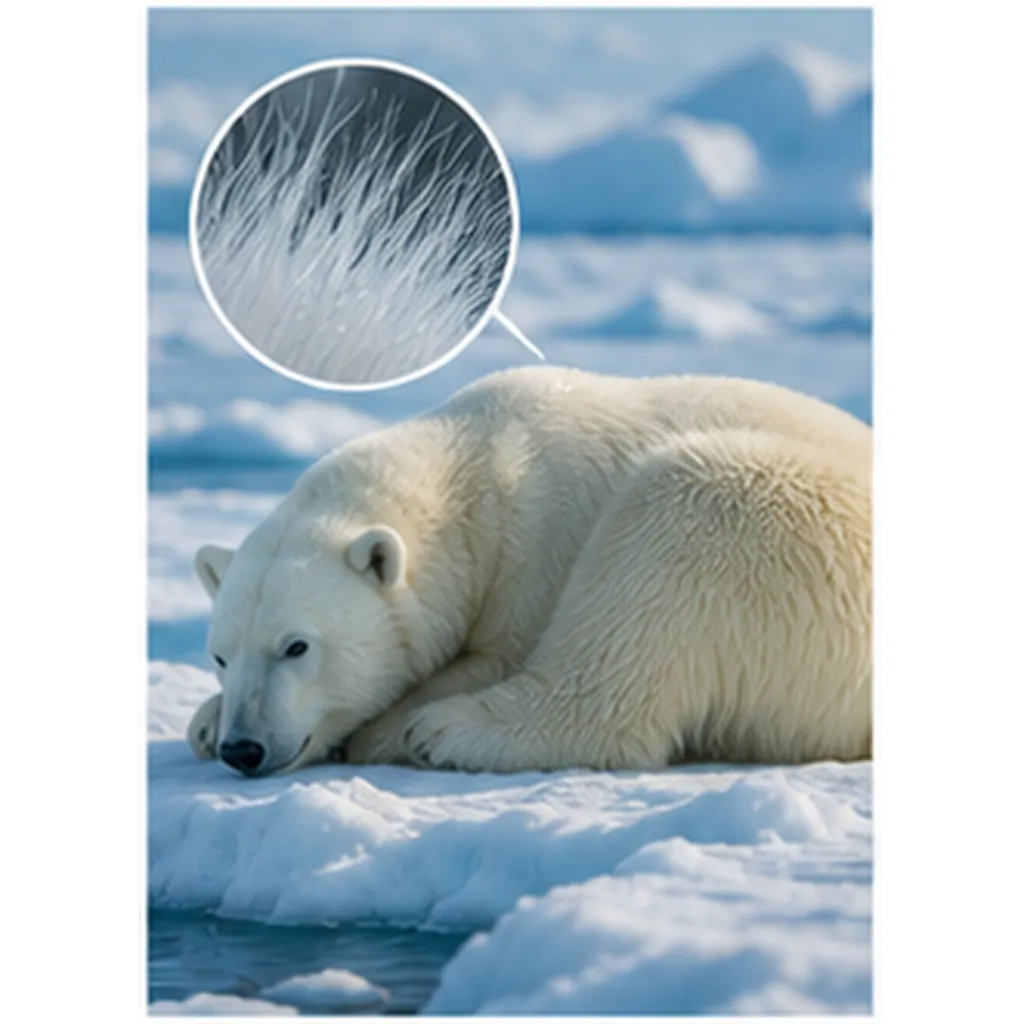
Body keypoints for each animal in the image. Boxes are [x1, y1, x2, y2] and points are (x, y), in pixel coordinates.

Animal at [187, 366, 871, 776]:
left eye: (297, 646)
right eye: (220, 654)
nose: (243, 748)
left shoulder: (540, 549)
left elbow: (499, 653)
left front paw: (386, 723)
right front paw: (205, 719)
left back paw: (442, 731)